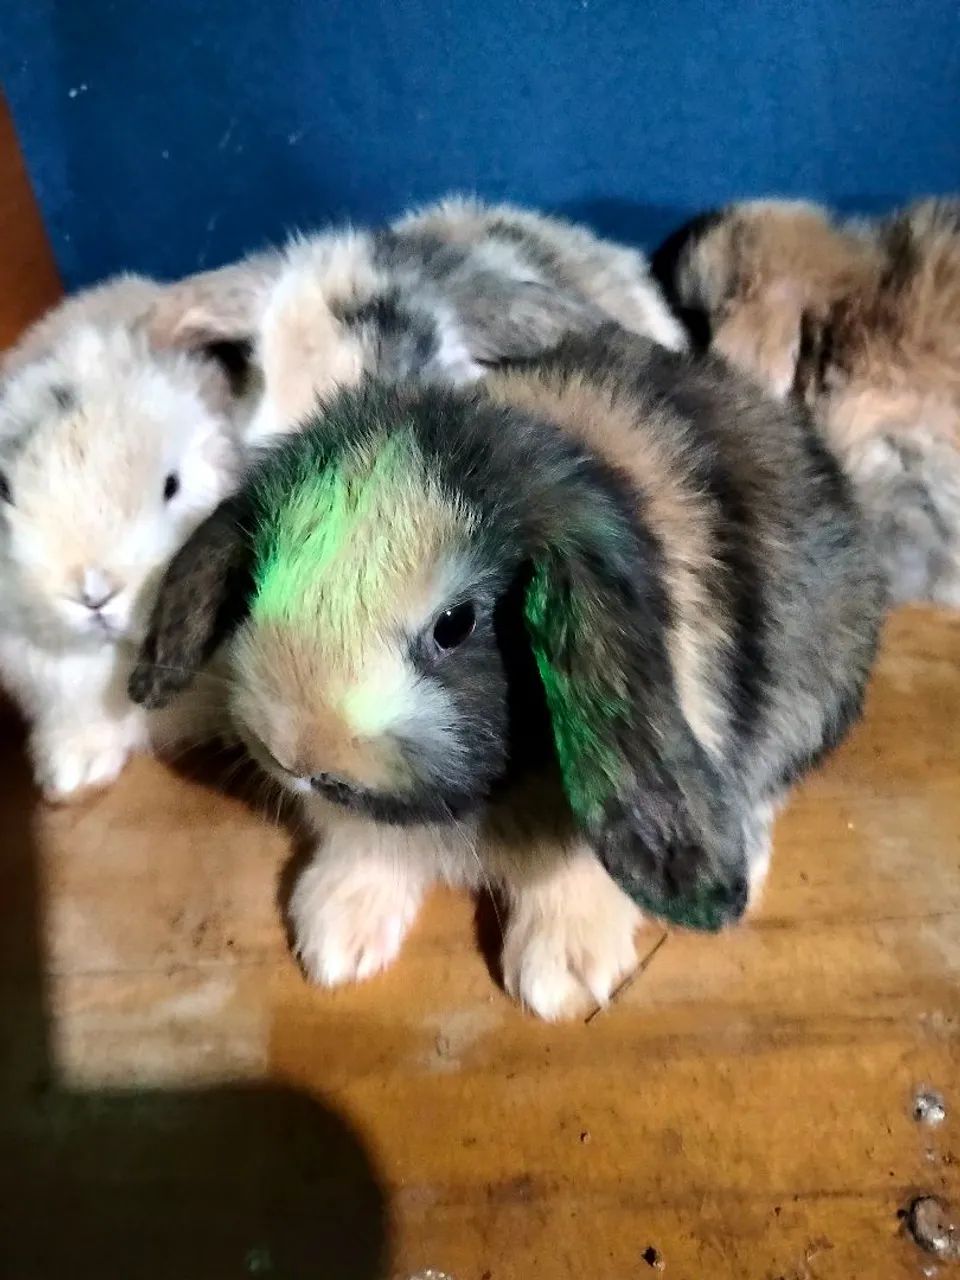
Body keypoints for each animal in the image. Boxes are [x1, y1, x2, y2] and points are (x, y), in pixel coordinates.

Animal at [128, 325, 883, 1019]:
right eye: (260, 580)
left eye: (455, 624)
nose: (296, 754)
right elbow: (367, 848)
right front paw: (333, 938)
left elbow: (580, 876)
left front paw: (561, 978)